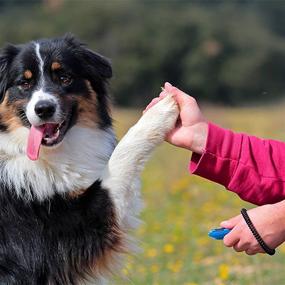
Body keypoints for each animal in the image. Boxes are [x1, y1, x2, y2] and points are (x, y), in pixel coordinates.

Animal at [0, 34, 178, 282]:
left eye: (64, 77)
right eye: (24, 83)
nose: (44, 109)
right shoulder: (70, 230)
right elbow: (120, 158)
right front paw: (162, 109)